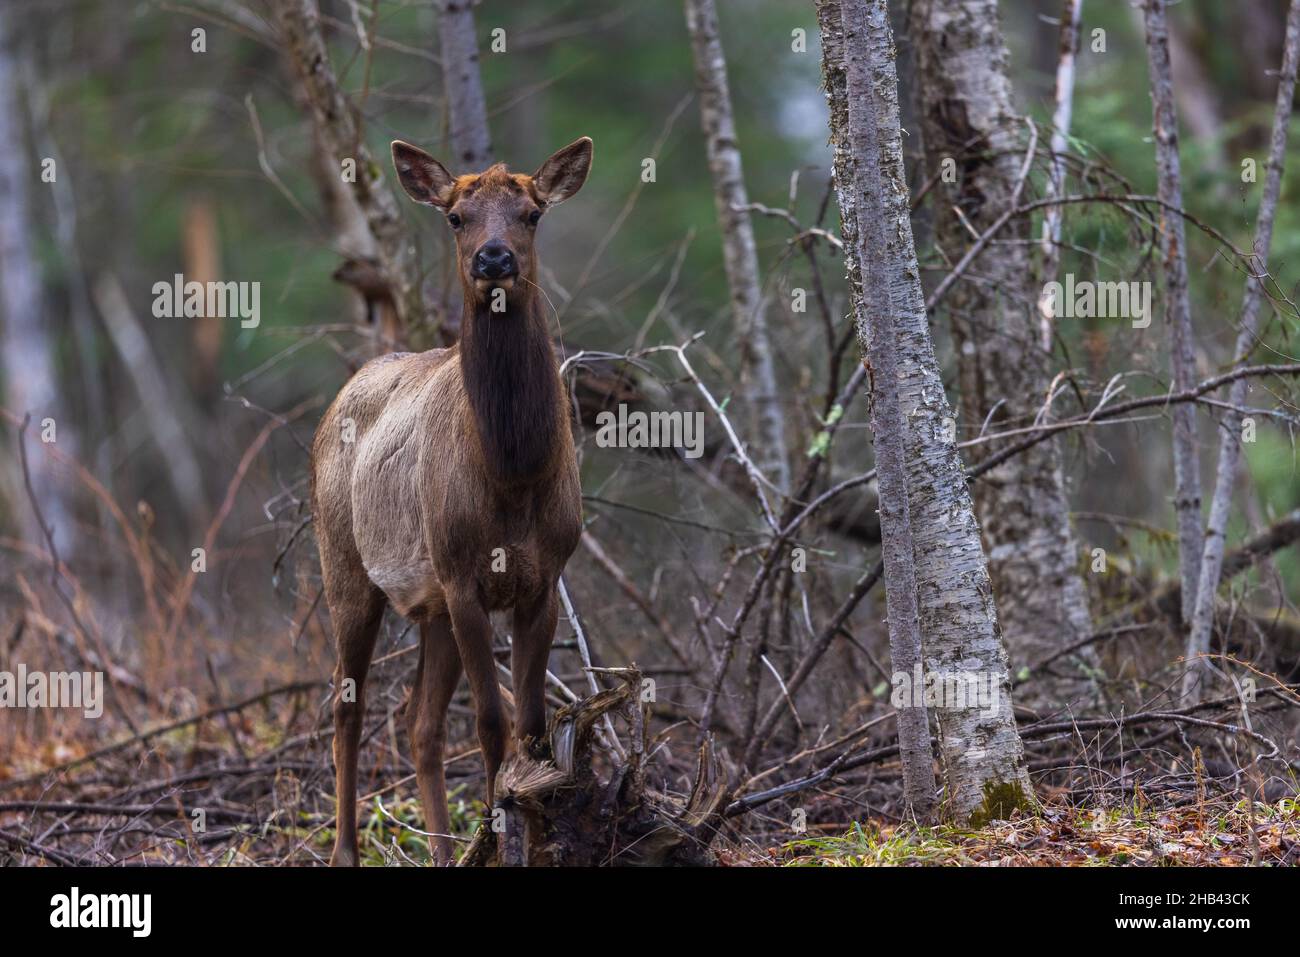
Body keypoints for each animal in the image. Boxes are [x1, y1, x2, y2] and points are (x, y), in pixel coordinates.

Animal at [309, 136, 595, 868]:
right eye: (457, 217)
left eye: (532, 213)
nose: (493, 258)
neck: (513, 475)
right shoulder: (464, 573)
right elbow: (492, 721)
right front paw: (499, 837)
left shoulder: (545, 575)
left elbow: (530, 724)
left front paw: (532, 835)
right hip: (346, 565)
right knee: (346, 703)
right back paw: (346, 850)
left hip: (429, 600)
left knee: (420, 722)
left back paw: (441, 851)